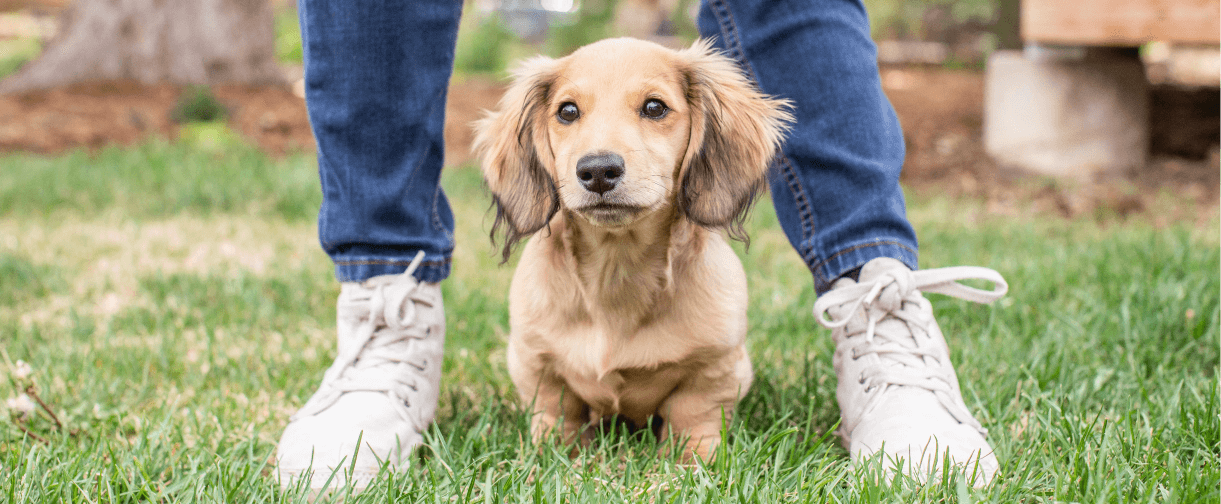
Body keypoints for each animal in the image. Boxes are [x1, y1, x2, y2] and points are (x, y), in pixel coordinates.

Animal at [466, 37, 791, 456]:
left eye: (655, 107)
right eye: (567, 111)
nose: (597, 170)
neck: (617, 269)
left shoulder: (715, 367)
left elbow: (693, 419)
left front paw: (692, 461)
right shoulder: (534, 363)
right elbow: (557, 414)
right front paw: (551, 454)